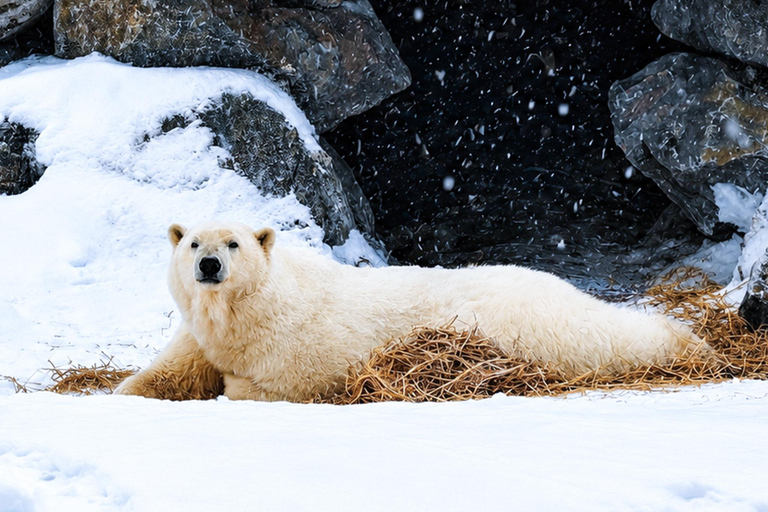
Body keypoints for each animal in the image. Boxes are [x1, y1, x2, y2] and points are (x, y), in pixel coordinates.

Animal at [115, 221, 708, 402]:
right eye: (193, 242)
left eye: (234, 243)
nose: (210, 265)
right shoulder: (200, 331)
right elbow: (167, 371)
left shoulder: (301, 344)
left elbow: (278, 384)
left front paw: (234, 386)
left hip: (526, 322)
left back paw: (685, 340)